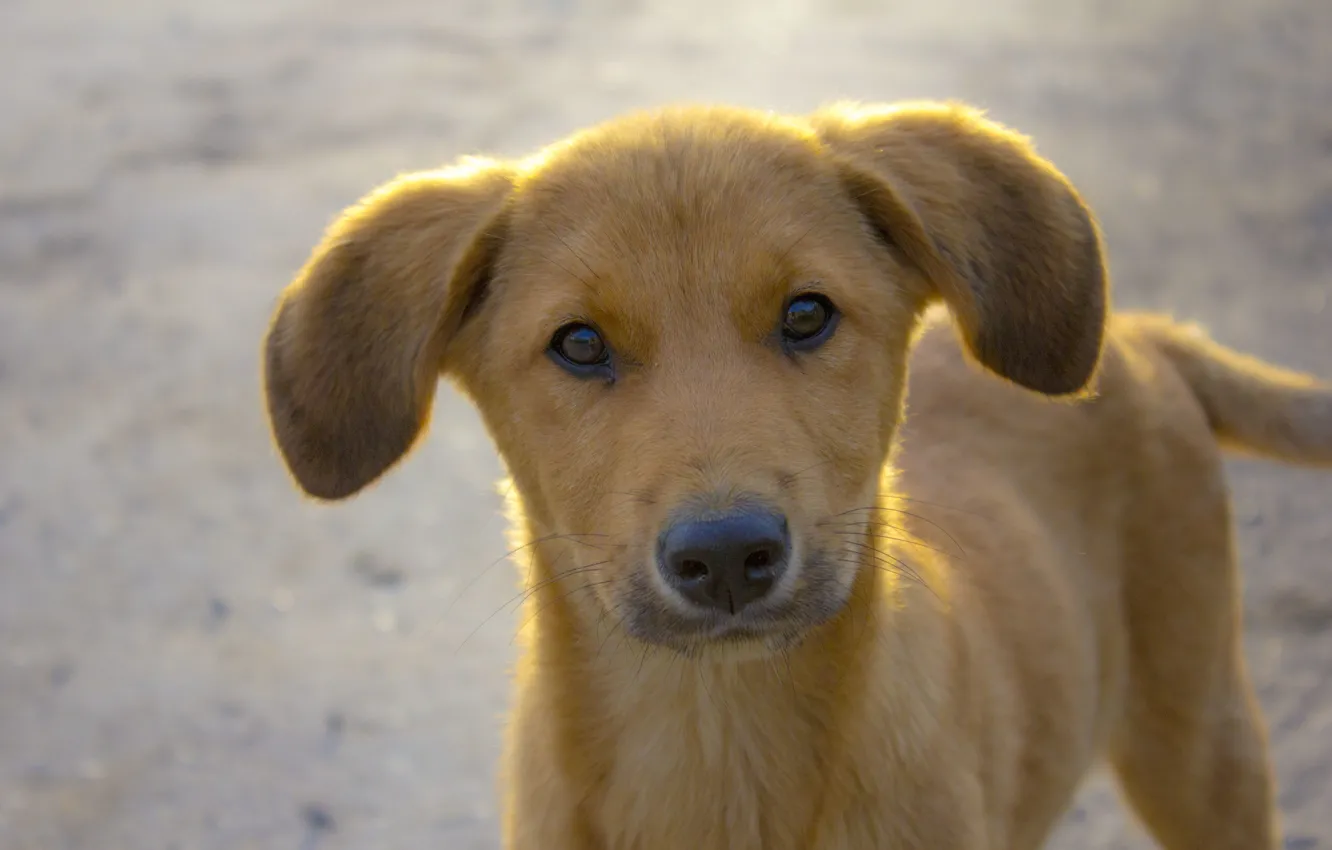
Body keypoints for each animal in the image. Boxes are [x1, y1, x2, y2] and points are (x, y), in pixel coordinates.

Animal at [259, 103, 1332, 847]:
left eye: (808, 315)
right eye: (578, 344)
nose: (729, 555)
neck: (718, 745)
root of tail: (1147, 335)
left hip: (1200, 739)